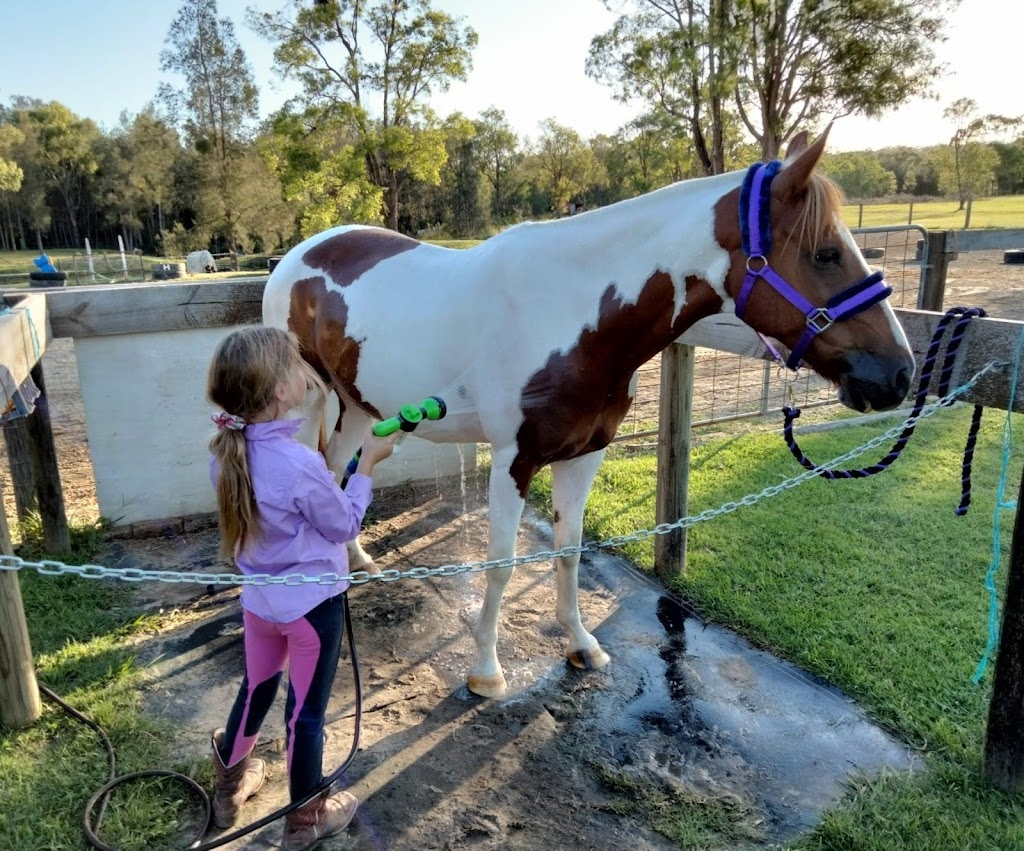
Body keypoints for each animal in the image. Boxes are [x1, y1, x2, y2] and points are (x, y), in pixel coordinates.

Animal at [262, 126, 913, 700]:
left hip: (358, 405)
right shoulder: (514, 459)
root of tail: (297, 255)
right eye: (826, 253)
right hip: (310, 401)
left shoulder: (584, 454)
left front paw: (580, 644)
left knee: (342, 464)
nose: (900, 372)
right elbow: (501, 565)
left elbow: (569, 553)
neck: (576, 317)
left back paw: (355, 560)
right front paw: (486, 672)